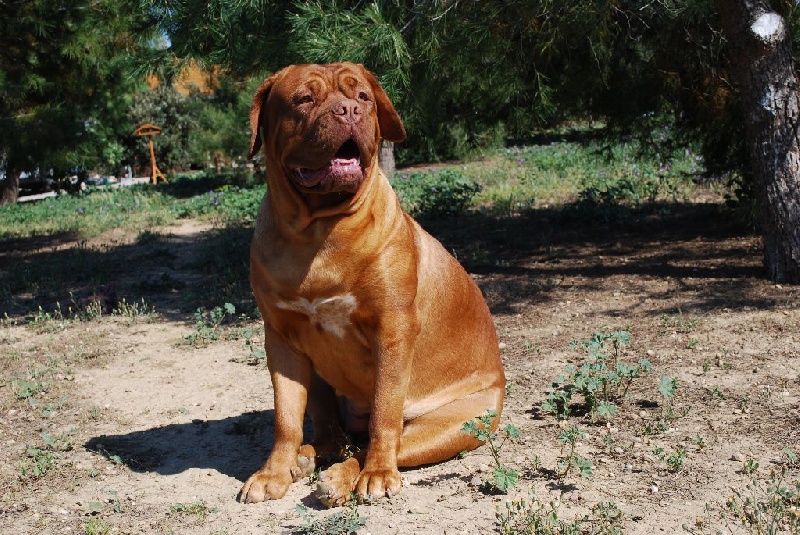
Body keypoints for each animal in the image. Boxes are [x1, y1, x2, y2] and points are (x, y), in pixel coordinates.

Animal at [238, 62, 504, 506]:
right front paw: (272, 473)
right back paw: (308, 458)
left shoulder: (392, 331)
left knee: (382, 441)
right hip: (320, 378)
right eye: (304, 99)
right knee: (332, 432)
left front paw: (377, 473)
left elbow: (384, 413)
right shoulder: (281, 338)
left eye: (362, 96)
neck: (319, 231)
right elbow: (286, 418)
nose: (348, 110)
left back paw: (342, 477)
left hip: (452, 424)